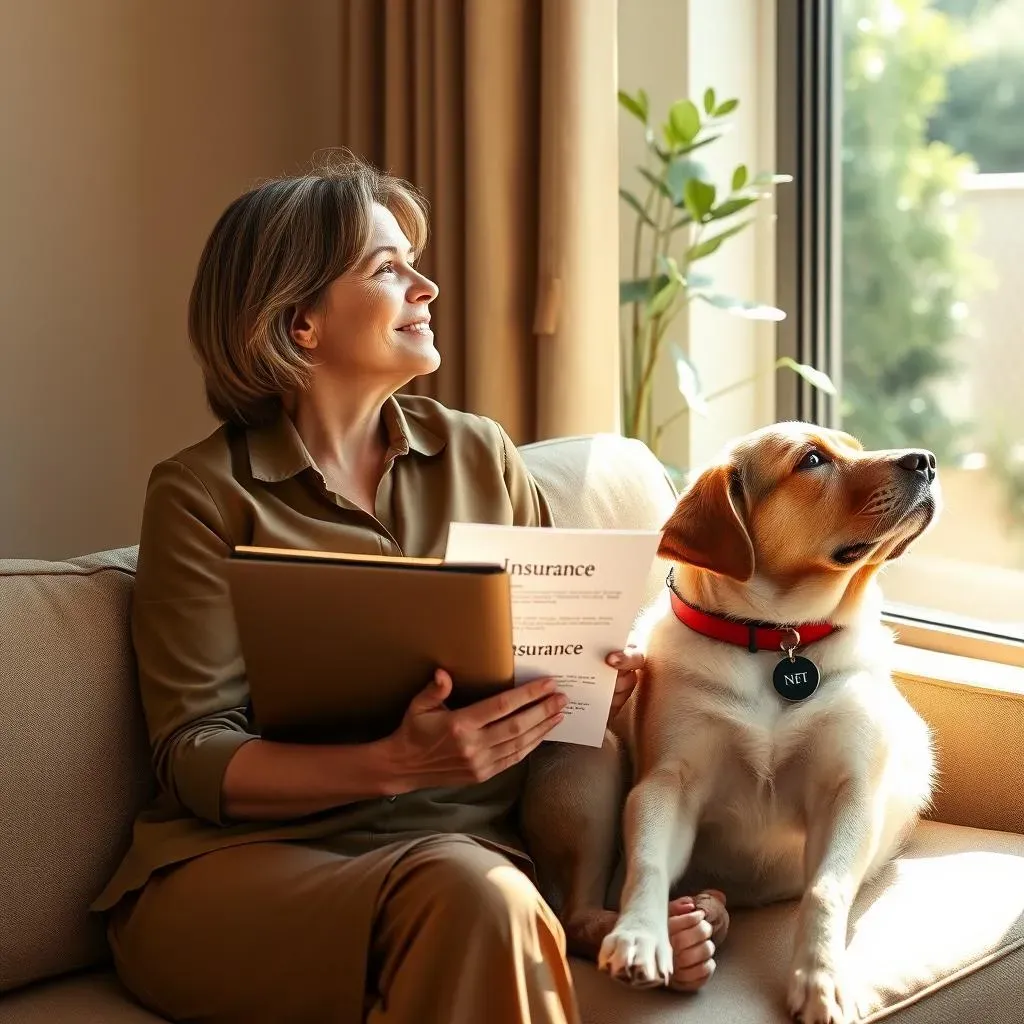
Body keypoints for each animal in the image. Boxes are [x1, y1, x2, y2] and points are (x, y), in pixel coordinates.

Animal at [524, 421, 937, 1024]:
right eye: (812, 460)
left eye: (855, 448)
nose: (926, 460)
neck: (777, 640)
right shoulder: (667, 784)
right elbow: (647, 864)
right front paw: (641, 934)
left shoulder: (849, 792)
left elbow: (825, 890)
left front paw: (822, 979)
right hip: (590, 761)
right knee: (576, 917)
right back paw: (681, 941)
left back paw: (707, 918)